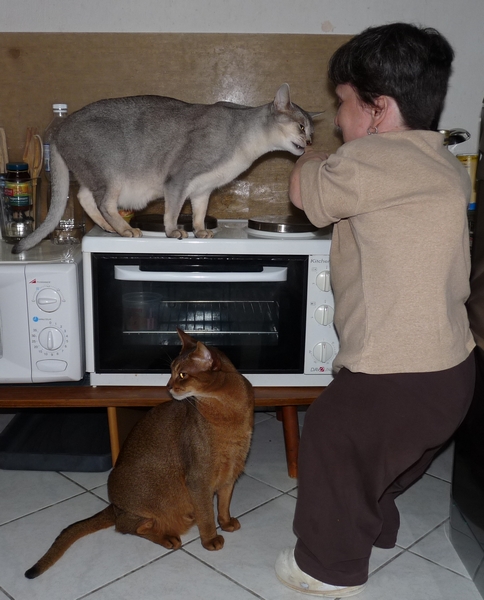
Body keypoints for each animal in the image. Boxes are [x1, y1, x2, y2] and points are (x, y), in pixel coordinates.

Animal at [12, 84, 314, 253]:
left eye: (312, 130)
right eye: (301, 126)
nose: (310, 142)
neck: (243, 137)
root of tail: (60, 129)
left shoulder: (202, 189)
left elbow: (199, 213)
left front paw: (200, 230)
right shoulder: (178, 178)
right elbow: (173, 209)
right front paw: (173, 230)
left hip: (96, 175)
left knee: (84, 197)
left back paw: (109, 227)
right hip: (111, 174)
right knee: (103, 202)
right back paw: (125, 229)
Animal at [25, 330, 255, 580]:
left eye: (182, 374)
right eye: (171, 372)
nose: (168, 387)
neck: (229, 408)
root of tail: (114, 506)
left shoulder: (231, 472)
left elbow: (223, 504)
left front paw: (226, 523)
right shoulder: (198, 480)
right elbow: (206, 514)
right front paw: (211, 539)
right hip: (141, 499)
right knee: (126, 525)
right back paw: (168, 537)